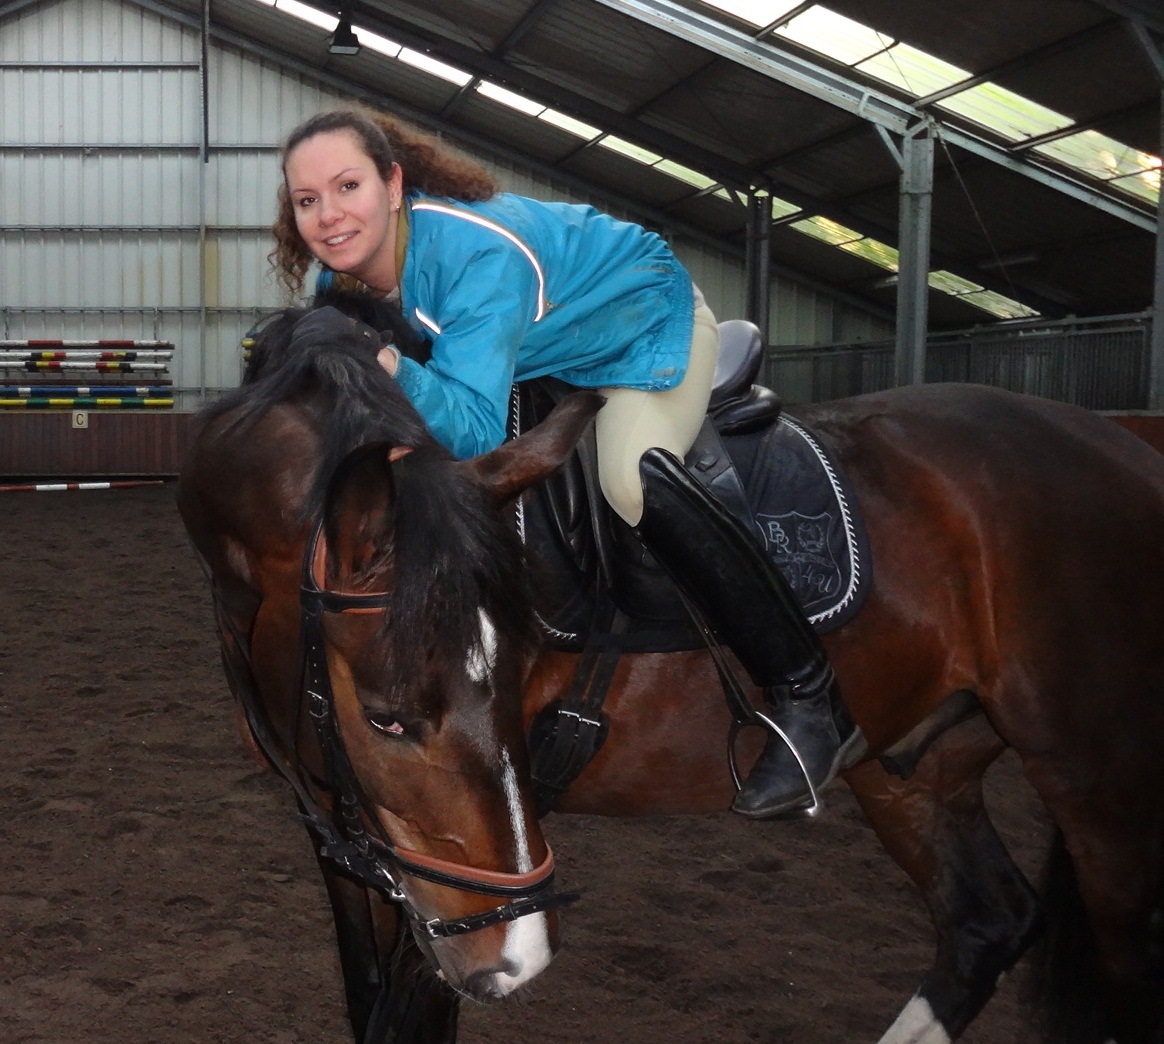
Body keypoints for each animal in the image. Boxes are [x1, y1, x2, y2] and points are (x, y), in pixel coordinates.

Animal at [177, 304, 1164, 1044]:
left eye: (517, 679)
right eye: (384, 717)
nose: (518, 961)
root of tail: (1129, 454)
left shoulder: (460, 871)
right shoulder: (355, 834)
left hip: (1101, 782)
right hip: (915, 763)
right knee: (985, 923)